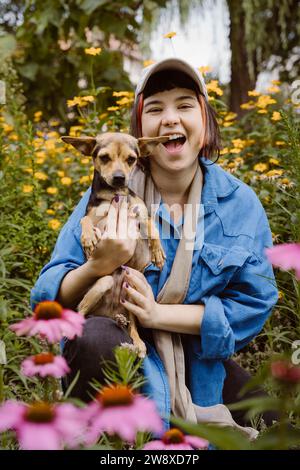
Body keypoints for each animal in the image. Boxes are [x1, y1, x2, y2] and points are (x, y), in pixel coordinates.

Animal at [61, 132, 172, 356]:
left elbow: (151, 225)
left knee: (132, 324)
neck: (116, 195)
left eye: (131, 159)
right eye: (104, 157)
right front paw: (88, 239)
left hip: (133, 294)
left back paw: (134, 337)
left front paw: (157, 252)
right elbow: (84, 220)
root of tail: (109, 312)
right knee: (82, 313)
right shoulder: (93, 216)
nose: (120, 177)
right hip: (103, 284)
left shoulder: (140, 214)